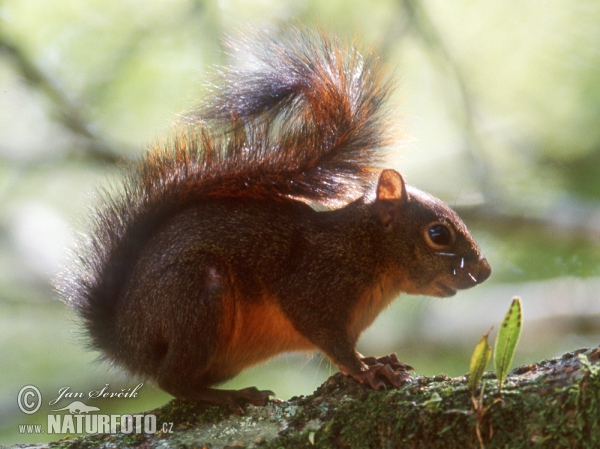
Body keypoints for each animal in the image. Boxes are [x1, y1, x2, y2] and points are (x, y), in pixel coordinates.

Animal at [59, 28, 492, 410]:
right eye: (437, 233)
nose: (485, 271)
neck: (366, 250)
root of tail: (124, 339)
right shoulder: (314, 287)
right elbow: (331, 342)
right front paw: (366, 371)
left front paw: (376, 360)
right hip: (195, 297)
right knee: (173, 380)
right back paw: (231, 397)